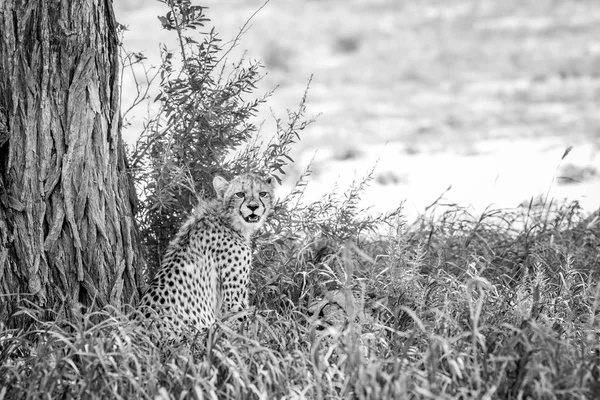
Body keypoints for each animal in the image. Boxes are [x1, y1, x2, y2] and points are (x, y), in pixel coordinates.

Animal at [138, 173, 274, 332]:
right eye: (240, 194)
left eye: (262, 194)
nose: (253, 207)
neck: (227, 219)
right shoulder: (233, 301)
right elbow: (242, 326)